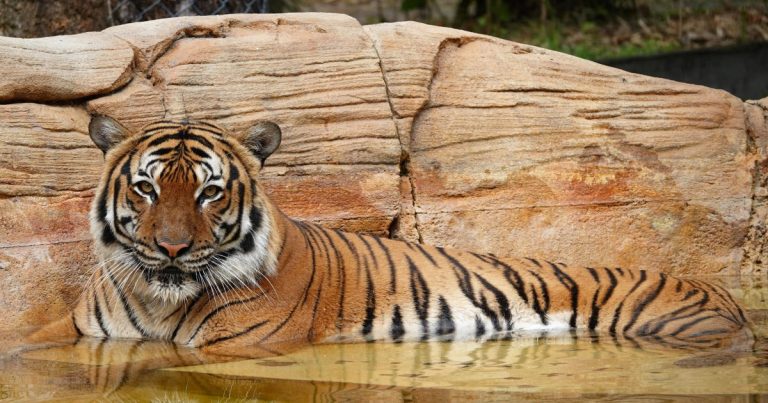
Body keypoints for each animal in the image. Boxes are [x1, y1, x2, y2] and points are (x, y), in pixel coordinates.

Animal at [29, 116, 753, 355]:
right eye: (147, 189)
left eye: (209, 191)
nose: (173, 248)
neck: (159, 299)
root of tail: (728, 296)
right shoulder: (78, 331)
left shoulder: (240, 347)